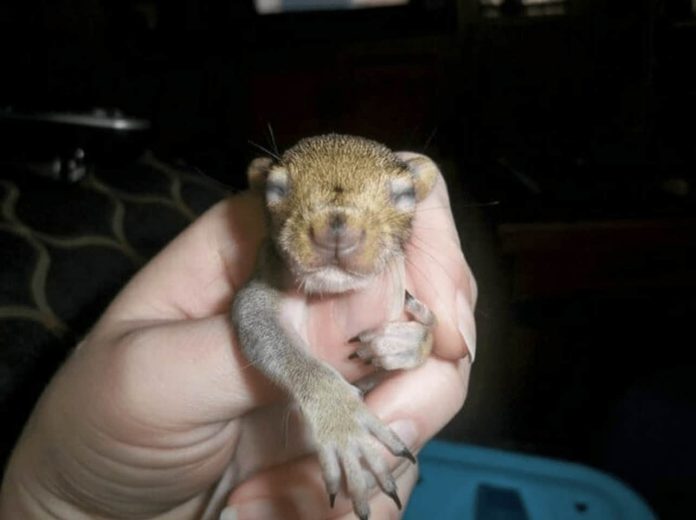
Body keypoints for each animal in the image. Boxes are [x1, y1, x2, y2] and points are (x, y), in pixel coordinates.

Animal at [231, 134, 439, 519]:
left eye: (405, 195)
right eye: (275, 188)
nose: (337, 230)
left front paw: (404, 342)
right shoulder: (254, 293)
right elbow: (267, 333)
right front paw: (344, 424)